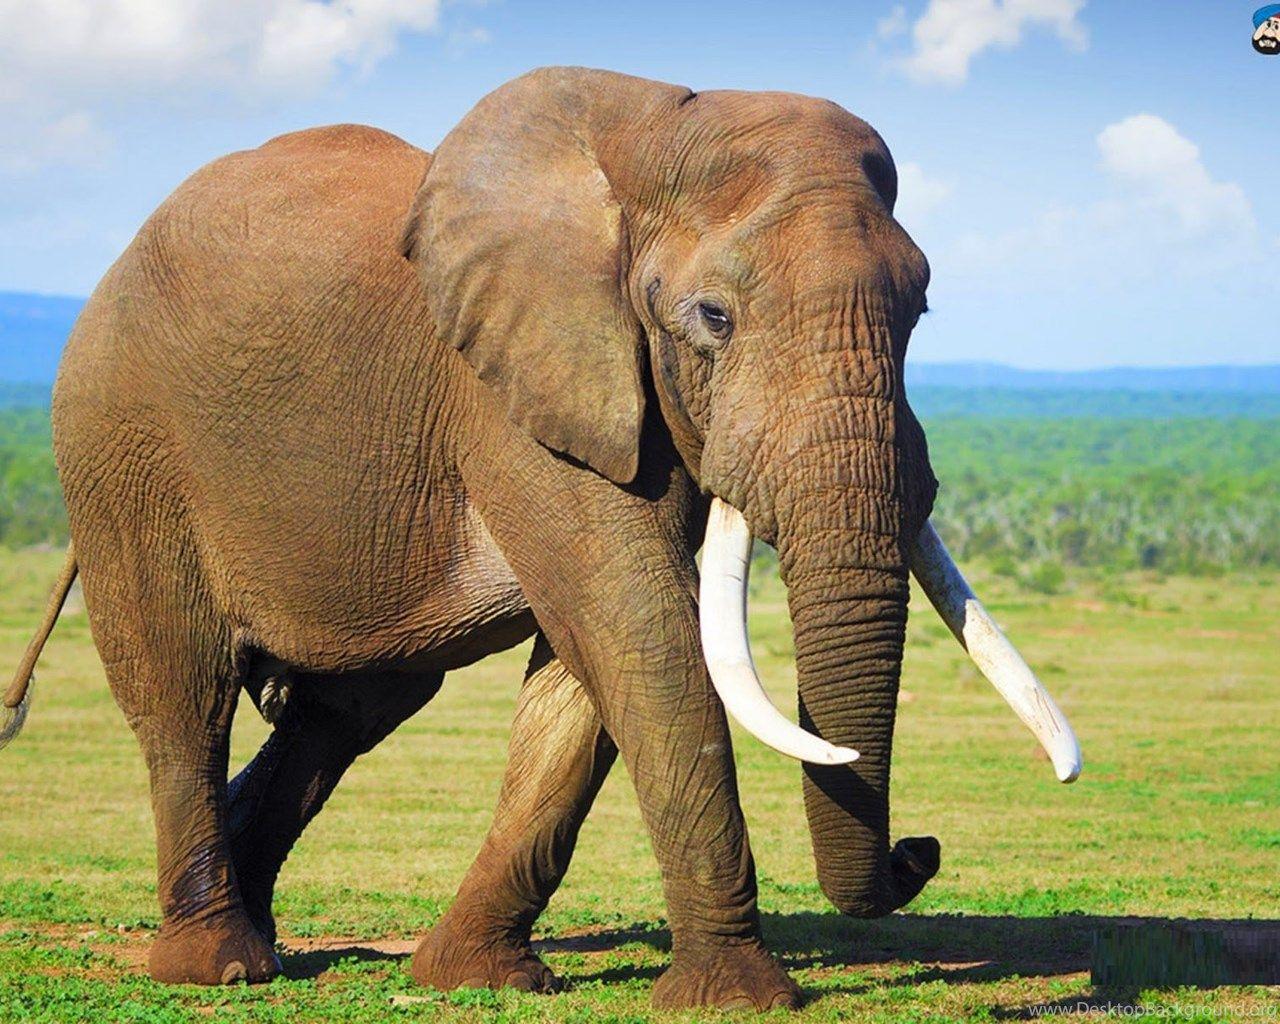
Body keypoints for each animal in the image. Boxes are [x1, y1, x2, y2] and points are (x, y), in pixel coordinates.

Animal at [1, 67, 1081, 1010]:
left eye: (921, 310)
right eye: (713, 318)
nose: (920, 851)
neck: (647, 135)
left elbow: (587, 667)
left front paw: (474, 980)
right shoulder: (515, 385)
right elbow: (637, 626)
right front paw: (736, 1000)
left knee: (349, 707)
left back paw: (257, 925)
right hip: (120, 446)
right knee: (181, 691)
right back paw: (217, 966)